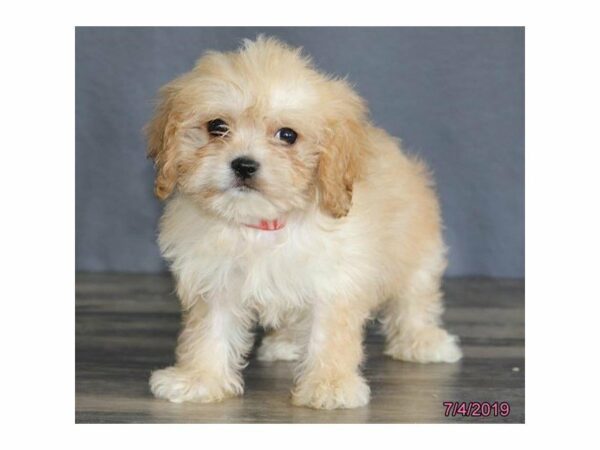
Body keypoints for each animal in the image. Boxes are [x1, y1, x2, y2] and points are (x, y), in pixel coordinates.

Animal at [146, 37, 464, 410]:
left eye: (288, 135)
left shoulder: (334, 282)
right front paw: (199, 379)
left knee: (414, 297)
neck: (264, 224)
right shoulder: (215, 280)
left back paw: (424, 341)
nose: (243, 165)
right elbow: (209, 331)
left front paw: (330, 385)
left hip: (416, 249)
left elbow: (330, 334)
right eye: (217, 127)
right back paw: (285, 343)